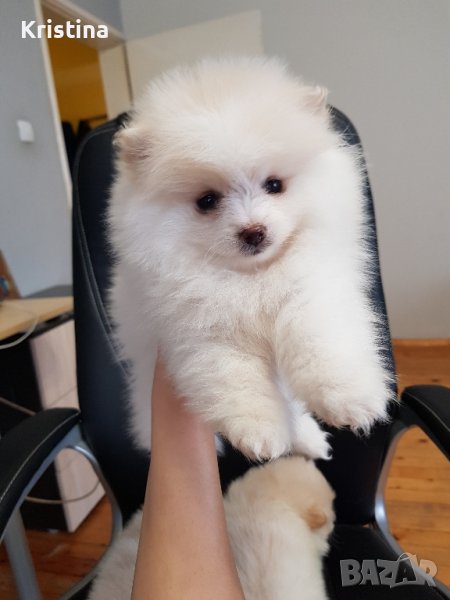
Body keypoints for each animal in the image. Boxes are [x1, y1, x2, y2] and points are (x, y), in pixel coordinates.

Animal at [108, 56, 393, 461]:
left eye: (274, 185)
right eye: (206, 201)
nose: (253, 231)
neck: (252, 276)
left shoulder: (312, 293)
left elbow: (322, 342)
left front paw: (350, 398)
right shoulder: (203, 333)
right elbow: (236, 381)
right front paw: (261, 433)